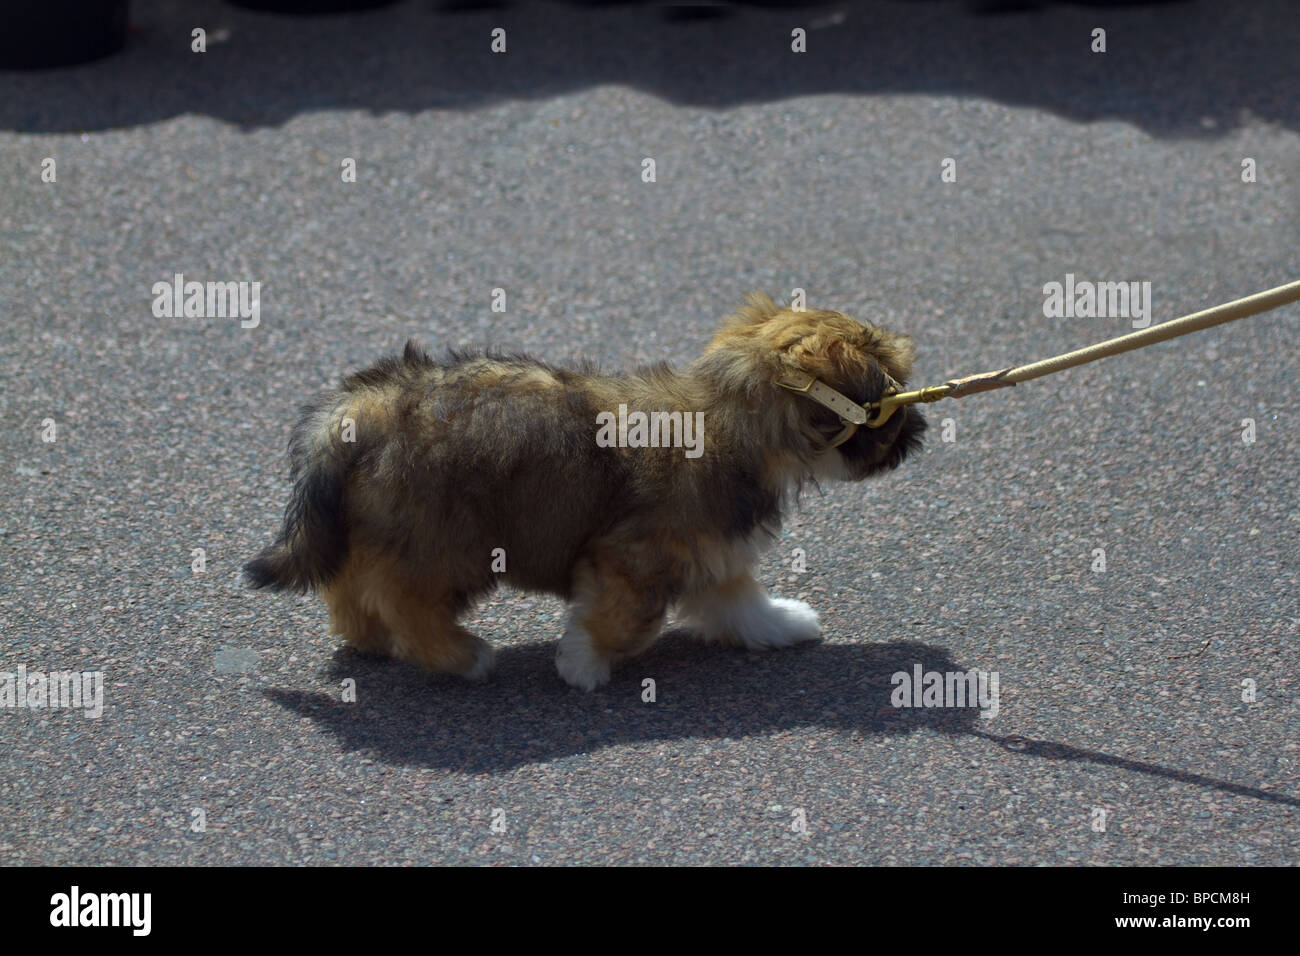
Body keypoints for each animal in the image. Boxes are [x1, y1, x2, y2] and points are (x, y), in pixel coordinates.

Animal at [244, 291, 930, 686]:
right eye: (891, 397)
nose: (922, 428)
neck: (735, 418)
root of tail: (366, 405)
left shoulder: (713, 548)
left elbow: (738, 599)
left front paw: (779, 624)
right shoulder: (634, 554)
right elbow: (632, 619)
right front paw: (582, 661)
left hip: (386, 529)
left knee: (350, 584)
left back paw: (366, 636)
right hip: (448, 542)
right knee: (405, 602)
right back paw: (462, 656)